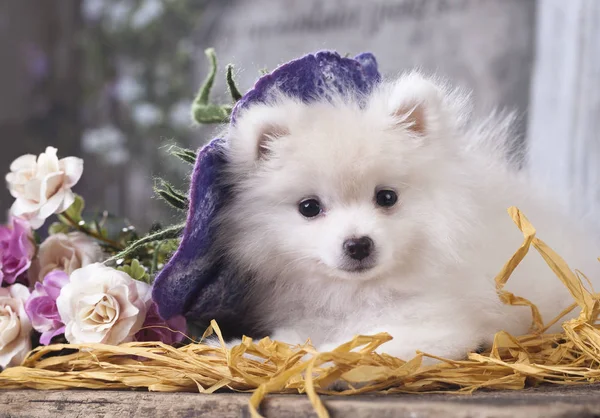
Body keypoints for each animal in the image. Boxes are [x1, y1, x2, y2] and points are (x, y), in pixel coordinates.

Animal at [216, 72, 600, 360]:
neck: (360, 292)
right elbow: (286, 338)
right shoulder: (311, 316)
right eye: (309, 207)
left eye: (387, 197)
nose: (358, 244)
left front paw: (320, 359)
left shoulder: (432, 326)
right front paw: (241, 347)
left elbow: (357, 348)